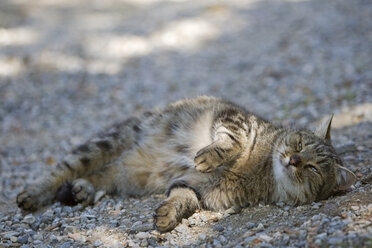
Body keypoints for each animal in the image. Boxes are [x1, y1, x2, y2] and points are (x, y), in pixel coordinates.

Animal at [16, 96, 356, 232]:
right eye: (299, 146)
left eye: (313, 169)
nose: (294, 159)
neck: (262, 170)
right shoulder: (234, 119)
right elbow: (230, 141)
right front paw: (209, 155)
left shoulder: (199, 188)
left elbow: (183, 199)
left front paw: (168, 214)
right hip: (103, 144)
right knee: (62, 170)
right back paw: (32, 194)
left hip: (126, 176)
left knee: (100, 175)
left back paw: (83, 189)